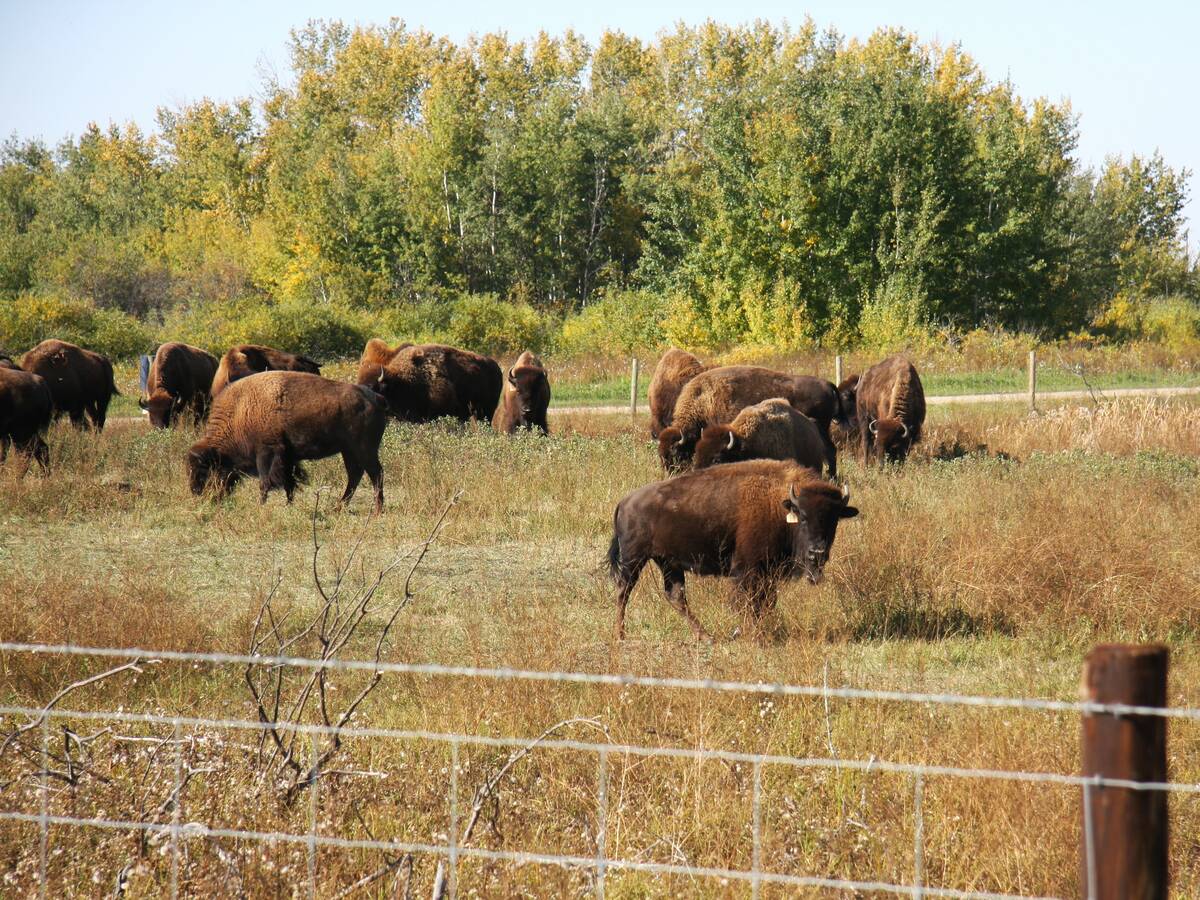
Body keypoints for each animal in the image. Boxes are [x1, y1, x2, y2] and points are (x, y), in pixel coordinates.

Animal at [187, 371, 387, 512]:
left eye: (203, 470)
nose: (197, 494)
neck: (240, 411)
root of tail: (374, 397)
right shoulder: (287, 458)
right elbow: (288, 483)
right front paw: (289, 505)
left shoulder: (266, 453)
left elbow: (265, 483)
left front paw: (261, 506)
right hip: (349, 451)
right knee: (355, 475)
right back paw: (338, 507)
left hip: (364, 449)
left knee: (375, 474)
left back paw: (377, 510)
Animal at [608, 459, 857, 640]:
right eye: (803, 517)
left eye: (833, 519)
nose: (817, 552)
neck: (779, 505)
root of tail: (624, 502)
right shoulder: (748, 570)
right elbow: (750, 602)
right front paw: (754, 635)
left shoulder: (768, 572)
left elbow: (767, 602)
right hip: (634, 559)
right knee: (623, 592)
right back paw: (620, 635)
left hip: (668, 563)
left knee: (675, 595)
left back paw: (706, 637)